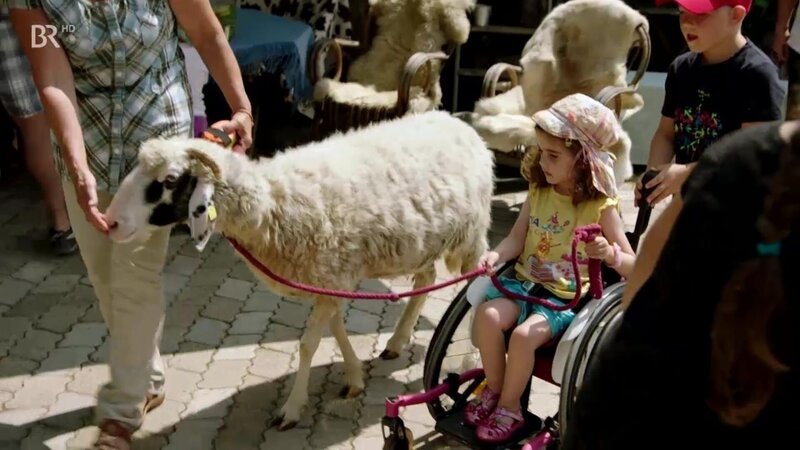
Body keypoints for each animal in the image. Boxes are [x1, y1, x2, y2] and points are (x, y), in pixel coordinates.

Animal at [104, 110, 495, 430]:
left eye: (170, 180)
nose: (111, 223)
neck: (272, 204)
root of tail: (458, 122)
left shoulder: (331, 273)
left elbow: (308, 345)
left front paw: (292, 408)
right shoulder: (330, 278)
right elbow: (335, 330)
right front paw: (354, 378)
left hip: (471, 235)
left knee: (479, 285)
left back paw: (473, 357)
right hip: (423, 242)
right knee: (426, 279)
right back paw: (397, 342)